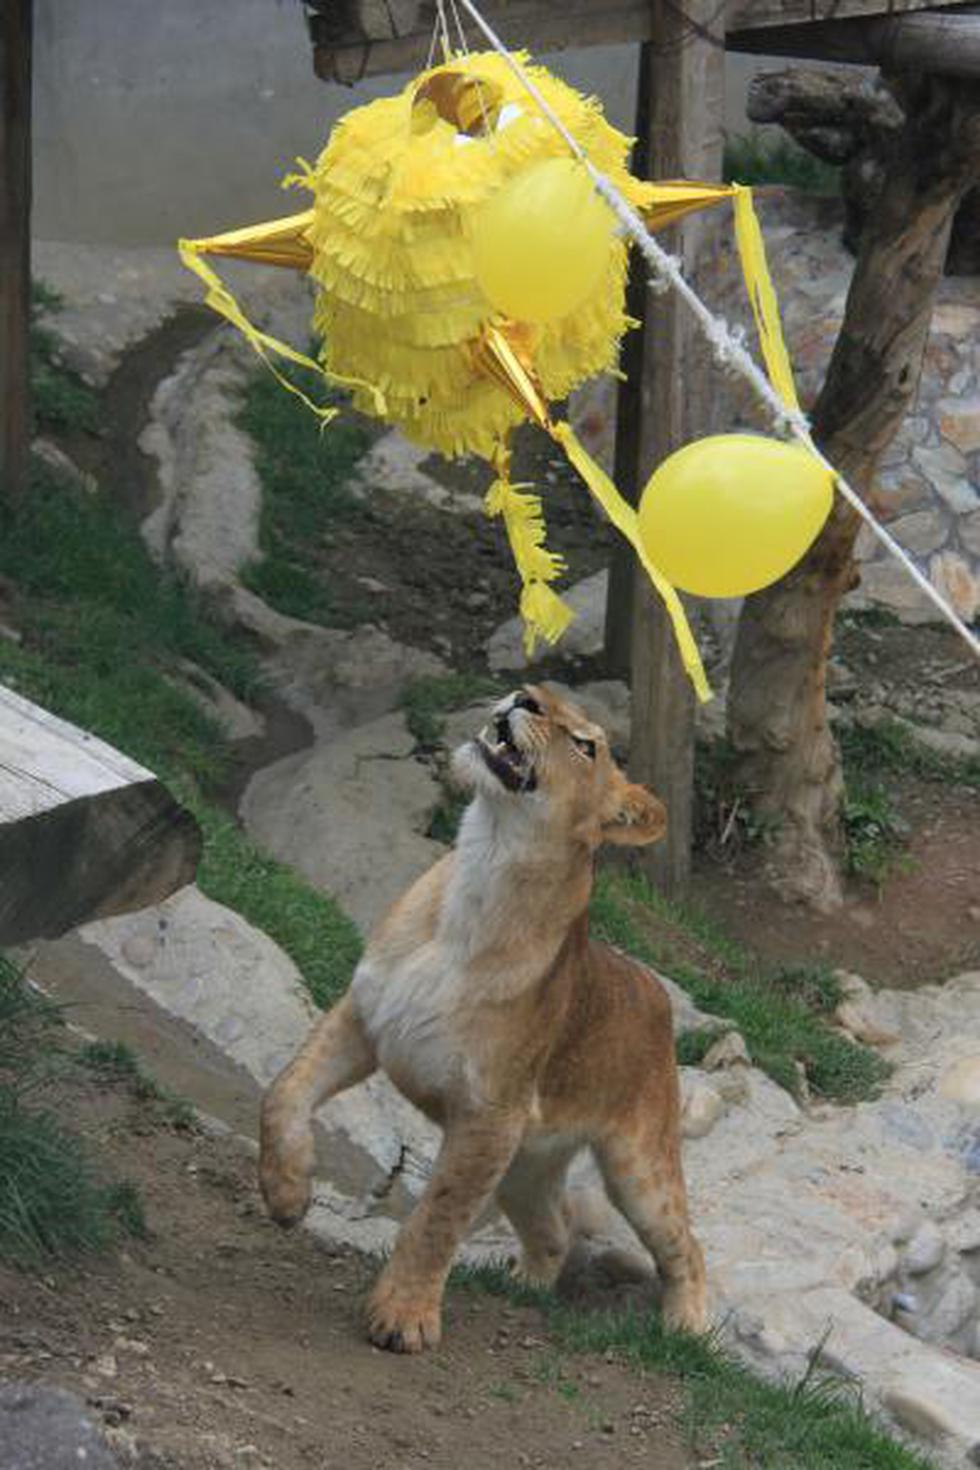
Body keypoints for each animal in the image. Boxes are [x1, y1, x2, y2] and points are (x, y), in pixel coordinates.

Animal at [259, 684, 706, 1352]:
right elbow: (284, 1091)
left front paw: (403, 1318)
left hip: (636, 1167)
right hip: (526, 1162)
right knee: (556, 1226)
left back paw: (686, 1330)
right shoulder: (363, 1019)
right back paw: (522, 1285)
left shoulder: (488, 1117)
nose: (525, 695)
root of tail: (654, 987)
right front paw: (287, 1193)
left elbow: (437, 1217)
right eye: (544, 692)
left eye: (586, 745)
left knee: (686, 1246)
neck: (486, 865)